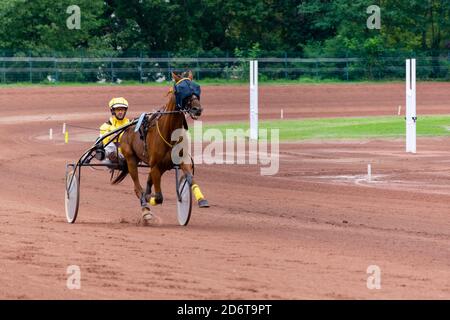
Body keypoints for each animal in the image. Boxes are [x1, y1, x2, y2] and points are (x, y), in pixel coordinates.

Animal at [114, 71, 209, 219]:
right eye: (180, 89)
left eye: (196, 87)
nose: (196, 109)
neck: (169, 133)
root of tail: (126, 128)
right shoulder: (155, 166)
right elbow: (158, 197)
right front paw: (149, 198)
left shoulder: (181, 160)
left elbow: (190, 178)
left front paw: (201, 200)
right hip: (131, 159)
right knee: (137, 187)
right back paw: (145, 207)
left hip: (162, 166)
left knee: (148, 180)